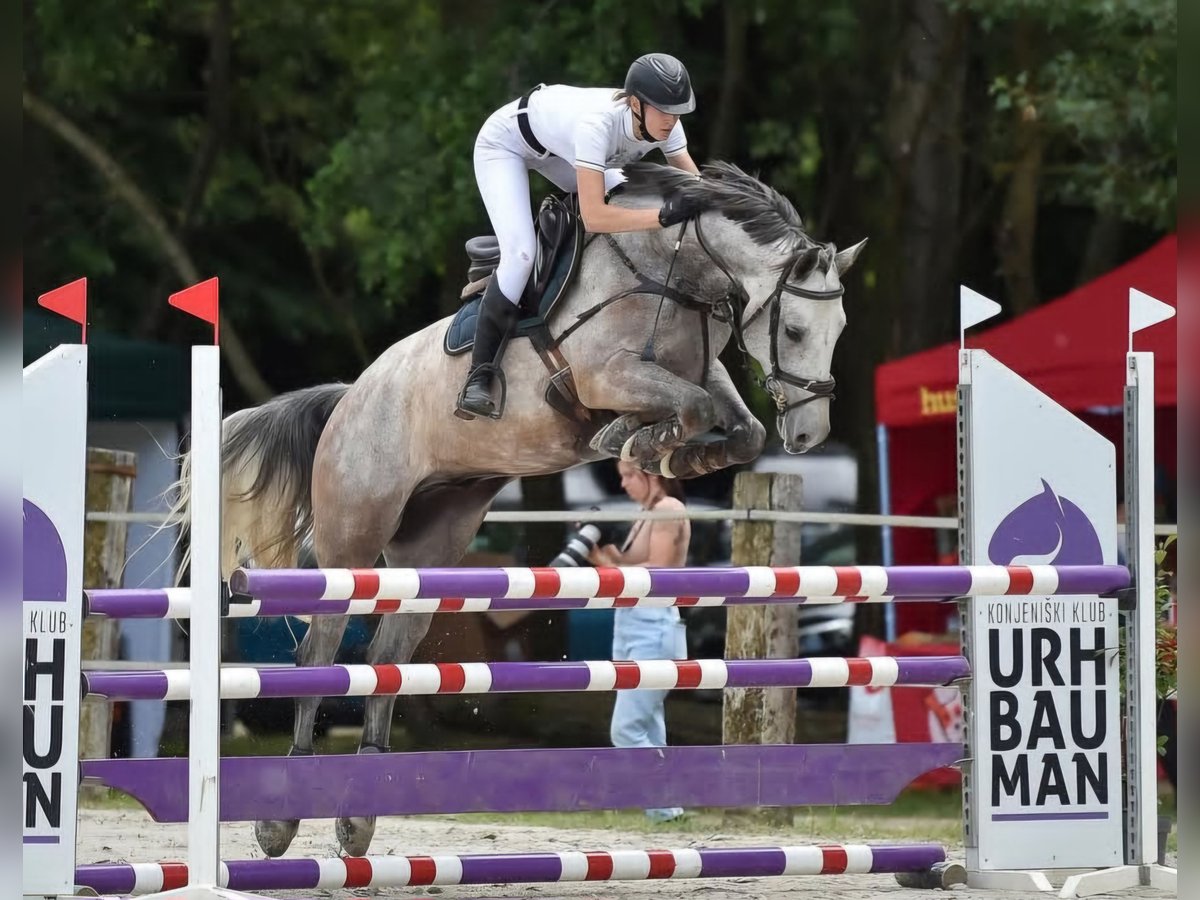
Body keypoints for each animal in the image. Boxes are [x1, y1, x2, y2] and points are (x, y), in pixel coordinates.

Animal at [192, 162, 864, 859]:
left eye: (839, 330)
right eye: (793, 330)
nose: (810, 435)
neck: (671, 271)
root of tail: (350, 398)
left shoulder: (701, 378)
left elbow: (739, 427)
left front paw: (674, 453)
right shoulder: (606, 376)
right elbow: (691, 409)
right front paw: (634, 439)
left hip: (431, 546)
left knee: (383, 661)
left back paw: (360, 816)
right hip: (352, 542)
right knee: (317, 657)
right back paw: (282, 819)